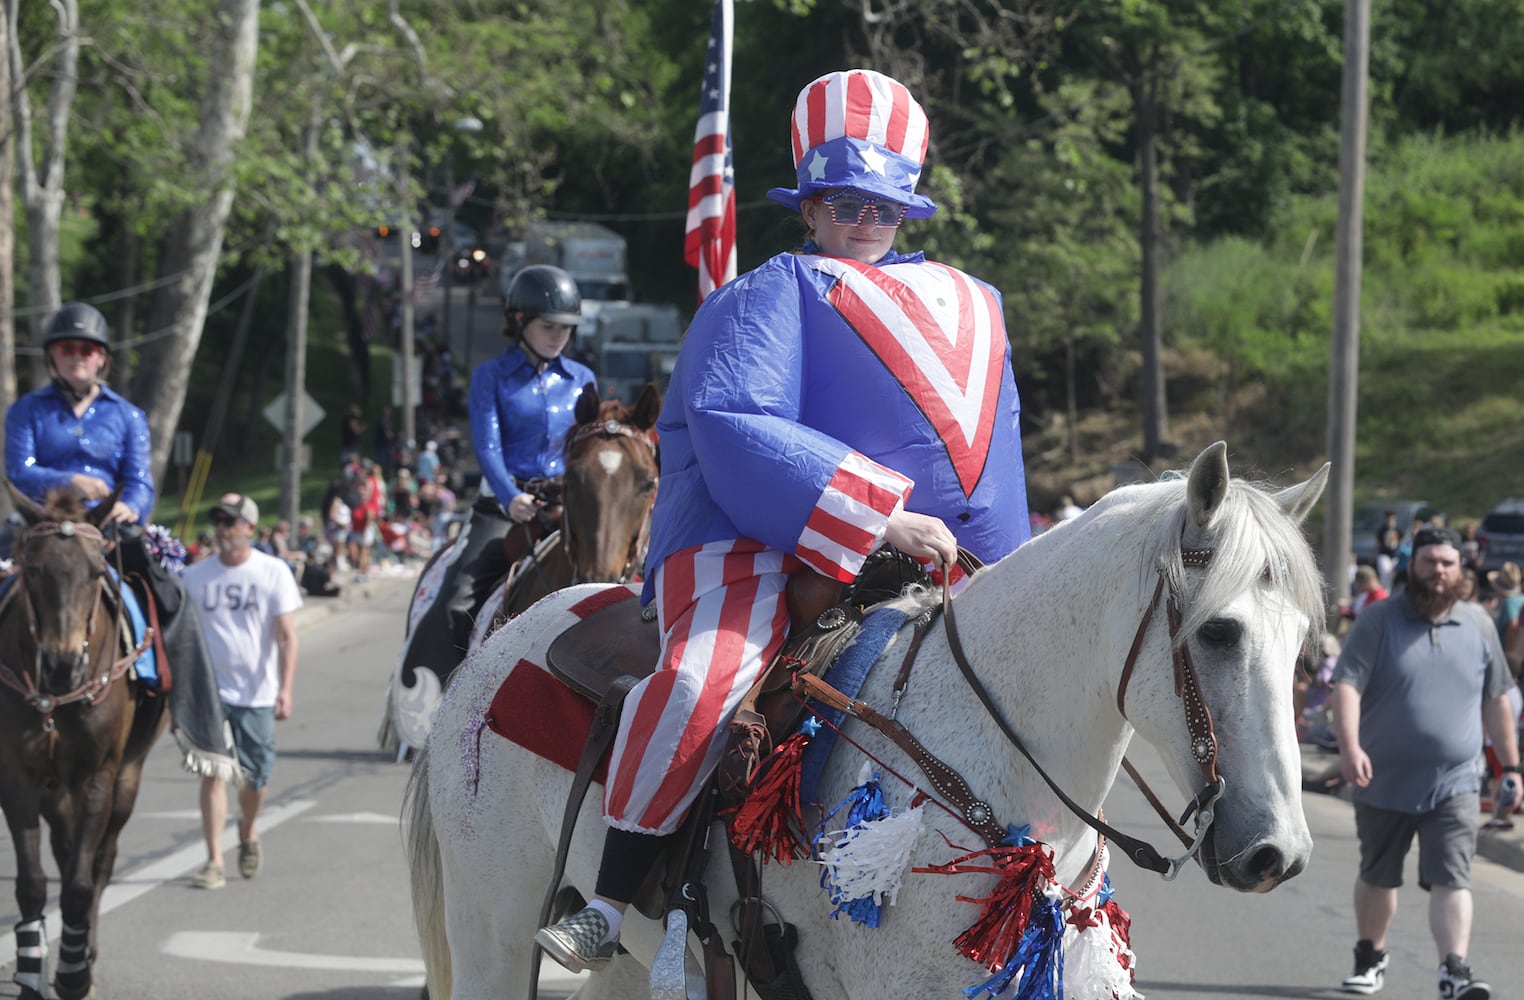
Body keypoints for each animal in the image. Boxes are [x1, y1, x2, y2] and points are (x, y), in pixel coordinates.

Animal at [0, 481, 167, 993]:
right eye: (34, 570)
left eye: (95, 572)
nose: (62, 663)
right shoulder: (18, 778)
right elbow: (33, 882)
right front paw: (31, 972)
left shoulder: (98, 776)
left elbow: (79, 883)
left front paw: (74, 976)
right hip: (56, 789)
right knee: (67, 846)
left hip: (127, 777)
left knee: (101, 860)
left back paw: (85, 955)